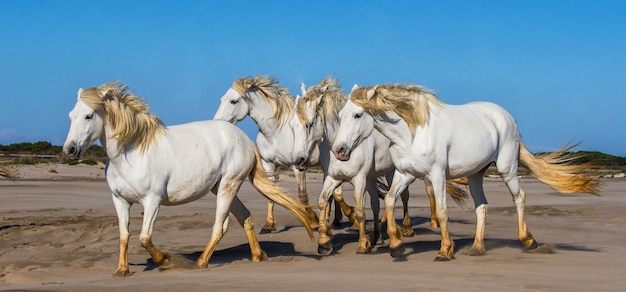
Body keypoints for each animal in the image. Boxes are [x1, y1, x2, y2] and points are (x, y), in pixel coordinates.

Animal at [62, 82, 312, 276]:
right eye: (71, 115)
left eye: (89, 116)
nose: (70, 150)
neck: (131, 153)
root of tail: (245, 139)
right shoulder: (120, 200)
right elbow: (124, 235)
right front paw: (122, 270)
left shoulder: (152, 201)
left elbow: (144, 237)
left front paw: (164, 260)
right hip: (220, 187)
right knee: (245, 216)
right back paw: (258, 255)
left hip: (228, 186)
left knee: (220, 226)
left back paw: (201, 263)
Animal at [212, 76, 354, 233]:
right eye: (222, 99)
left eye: (233, 101)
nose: (216, 122)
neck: (276, 133)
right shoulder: (269, 165)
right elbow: (271, 195)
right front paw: (269, 225)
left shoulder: (297, 166)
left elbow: (302, 195)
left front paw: (314, 222)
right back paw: (335, 221)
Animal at [292, 77, 464, 253]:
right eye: (292, 124)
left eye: (309, 124)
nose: (298, 160)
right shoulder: (332, 177)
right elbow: (323, 201)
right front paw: (324, 242)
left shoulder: (359, 179)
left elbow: (360, 210)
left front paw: (363, 244)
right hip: (373, 178)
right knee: (376, 204)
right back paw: (377, 236)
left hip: (392, 173)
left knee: (403, 196)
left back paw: (406, 229)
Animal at [332, 84, 600, 260]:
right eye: (340, 115)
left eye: (358, 114)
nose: (339, 150)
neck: (412, 132)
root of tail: (507, 117)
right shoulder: (405, 173)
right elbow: (388, 200)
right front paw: (396, 245)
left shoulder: (437, 175)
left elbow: (441, 212)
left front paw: (445, 250)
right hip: (475, 174)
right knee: (482, 206)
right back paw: (477, 247)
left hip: (506, 168)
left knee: (519, 198)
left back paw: (528, 240)